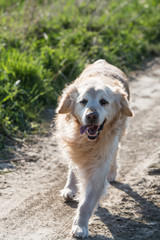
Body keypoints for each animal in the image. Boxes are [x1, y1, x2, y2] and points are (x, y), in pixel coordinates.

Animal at [55, 59, 133, 238]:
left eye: (104, 102)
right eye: (83, 101)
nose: (91, 116)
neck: (89, 141)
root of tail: (103, 61)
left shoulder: (99, 165)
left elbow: (86, 203)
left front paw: (80, 226)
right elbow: (74, 167)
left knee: (116, 152)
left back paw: (112, 172)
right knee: (72, 167)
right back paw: (70, 188)